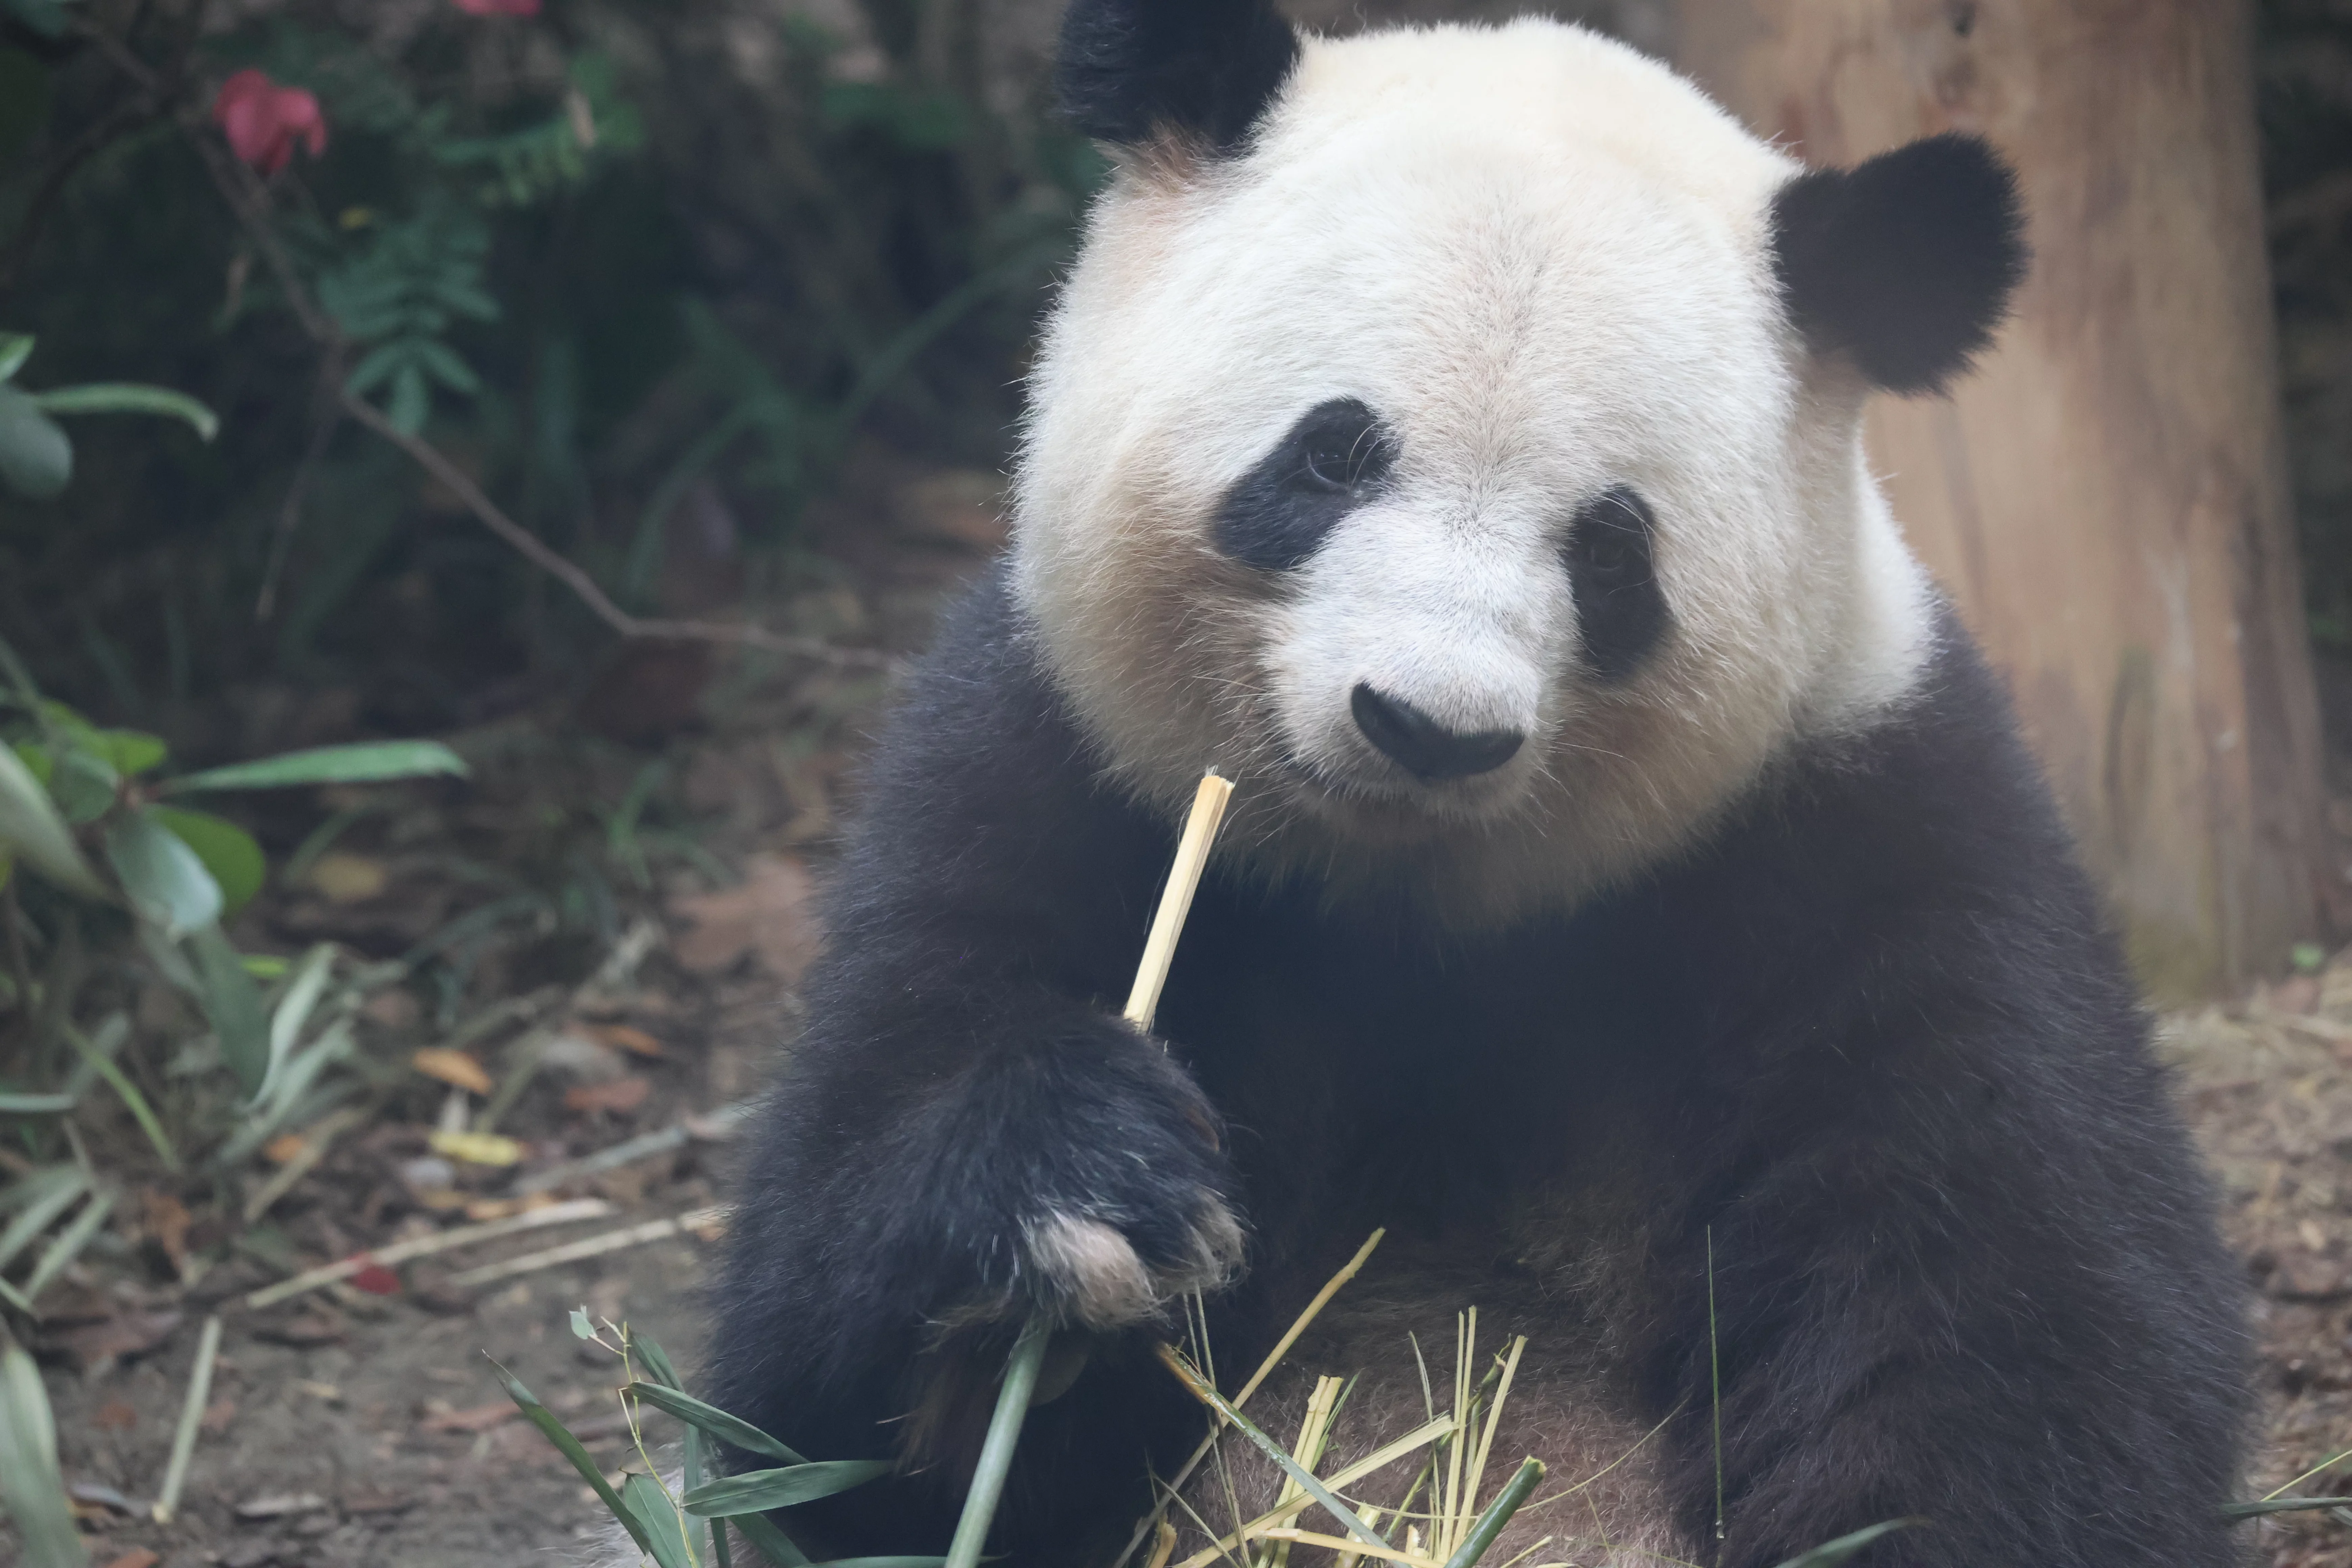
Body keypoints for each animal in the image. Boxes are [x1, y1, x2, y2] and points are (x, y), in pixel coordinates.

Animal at [698, 3, 2251, 1565]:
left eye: (1611, 551)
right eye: (1330, 454)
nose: (1426, 724)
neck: (1420, 901)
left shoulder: (1863, 834)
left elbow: (1998, 1308)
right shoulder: (1052, 767)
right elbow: (818, 1406)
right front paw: (1080, 1192)